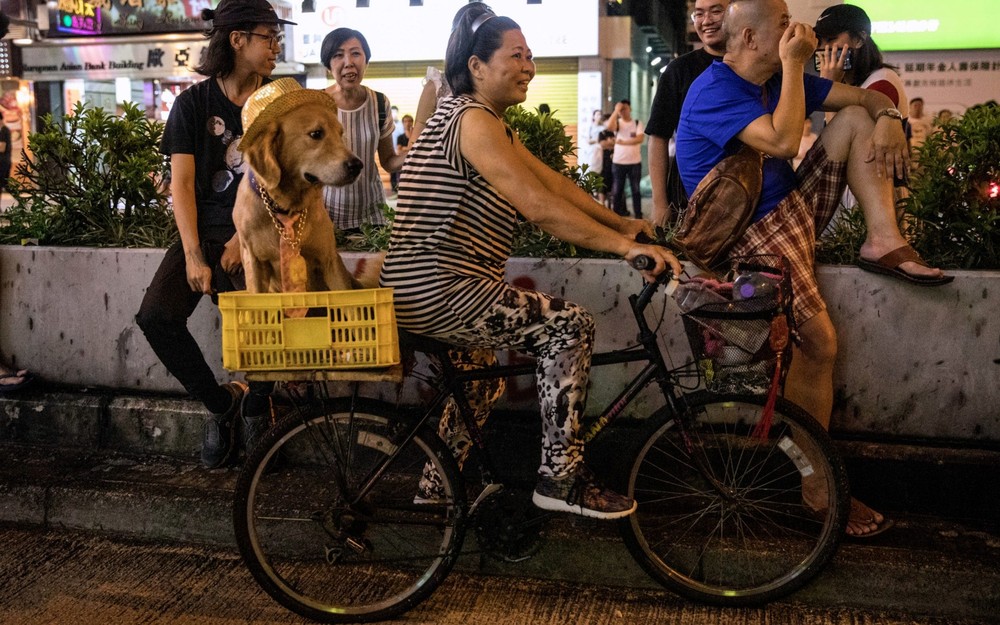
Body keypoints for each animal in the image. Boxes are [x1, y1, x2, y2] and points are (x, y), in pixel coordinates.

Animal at [234, 80, 378, 294]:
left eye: (340, 134)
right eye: (316, 134)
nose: (357, 165)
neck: (285, 206)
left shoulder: (330, 260)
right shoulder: (254, 263)